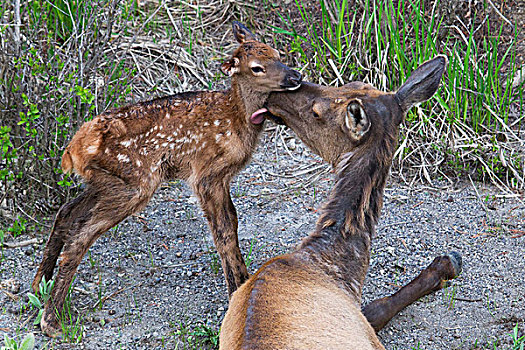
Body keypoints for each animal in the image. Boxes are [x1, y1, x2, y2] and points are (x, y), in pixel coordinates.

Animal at [32, 21, 300, 336]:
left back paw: (39, 287)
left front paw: (244, 283)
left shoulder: (221, 178)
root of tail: (74, 148)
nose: (295, 76)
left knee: (66, 212)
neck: (237, 120)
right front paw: (235, 292)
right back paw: (51, 320)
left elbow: (232, 224)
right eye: (257, 67)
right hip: (136, 183)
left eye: (277, 53)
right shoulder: (206, 174)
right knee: (80, 236)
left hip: (107, 181)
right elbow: (224, 234)